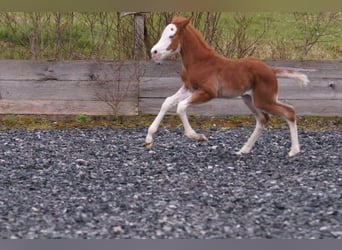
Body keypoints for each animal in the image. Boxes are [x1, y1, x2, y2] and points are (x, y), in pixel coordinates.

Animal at [145, 16, 310, 156]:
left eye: (171, 36)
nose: (153, 52)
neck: (200, 62)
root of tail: (271, 70)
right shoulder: (188, 87)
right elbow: (167, 102)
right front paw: (149, 139)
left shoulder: (208, 92)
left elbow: (180, 106)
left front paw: (198, 136)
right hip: (249, 99)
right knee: (263, 119)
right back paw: (244, 149)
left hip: (264, 100)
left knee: (289, 112)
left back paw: (294, 151)